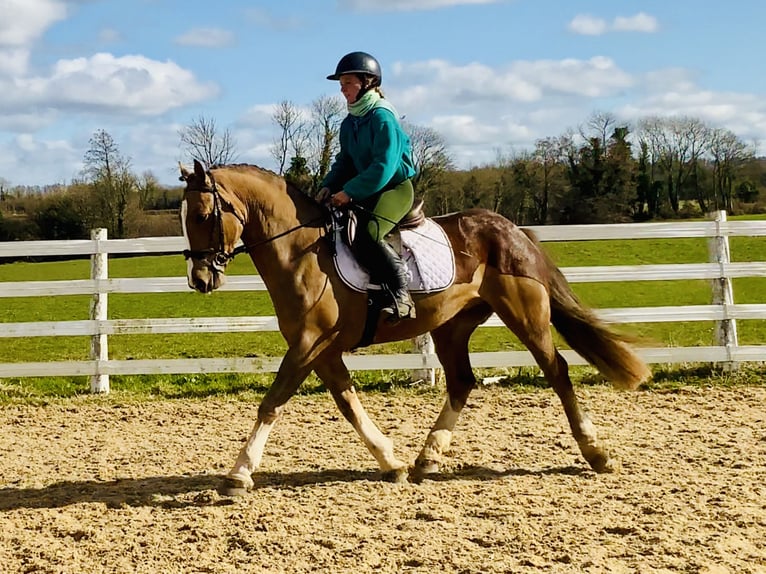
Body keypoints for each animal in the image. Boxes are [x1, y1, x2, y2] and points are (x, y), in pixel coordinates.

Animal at [180, 160, 656, 498]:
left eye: (202, 214)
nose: (200, 279)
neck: (302, 252)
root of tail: (513, 229)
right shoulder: (322, 349)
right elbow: (348, 403)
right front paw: (392, 462)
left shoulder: (310, 344)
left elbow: (272, 403)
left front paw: (238, 474)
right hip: (451, 328)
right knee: (462, 381)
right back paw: (428, 457)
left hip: (526, 315)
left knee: (557, 372)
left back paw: (597, 453)